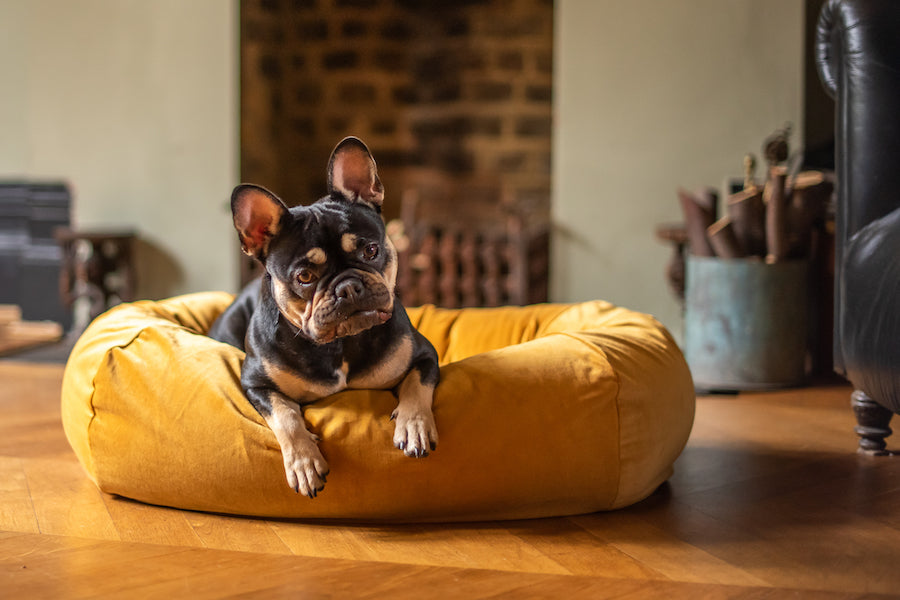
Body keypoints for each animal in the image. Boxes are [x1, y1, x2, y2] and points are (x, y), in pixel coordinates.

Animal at [208, 138, 440, 500]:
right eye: (304, 276)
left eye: (371, 251)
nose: (348, 287)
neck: (338, 344)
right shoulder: (258, 385)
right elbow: (286, 414)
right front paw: (304, 462)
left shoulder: (424, 355)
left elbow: (417, 386)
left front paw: (414, 426)